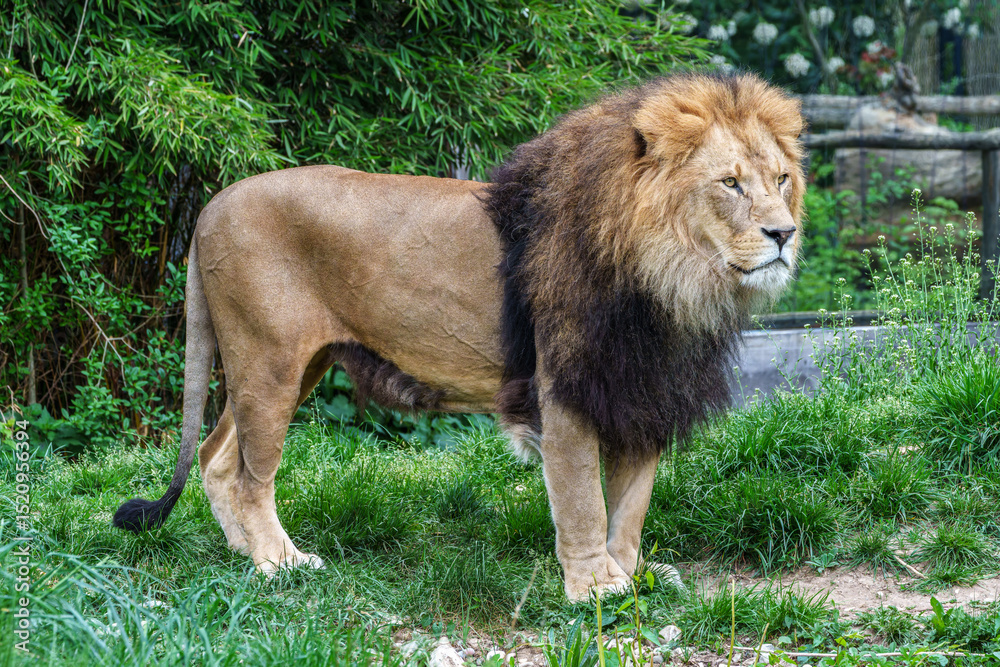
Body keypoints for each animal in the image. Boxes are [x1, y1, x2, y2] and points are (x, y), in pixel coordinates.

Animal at [114, 72, 805, 602]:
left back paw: (243, 557)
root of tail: (209, 207)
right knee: (249, 475)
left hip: (287, 365)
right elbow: (583, 499)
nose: (784, 233)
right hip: (270, 361)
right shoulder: (565, 390)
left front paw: (629, 578)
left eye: (780, 180)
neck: (672, 278)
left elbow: (630, 509)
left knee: (215, 458)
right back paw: (280, 564)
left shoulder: (639, 389)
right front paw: (595, 590)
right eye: (730, 183)